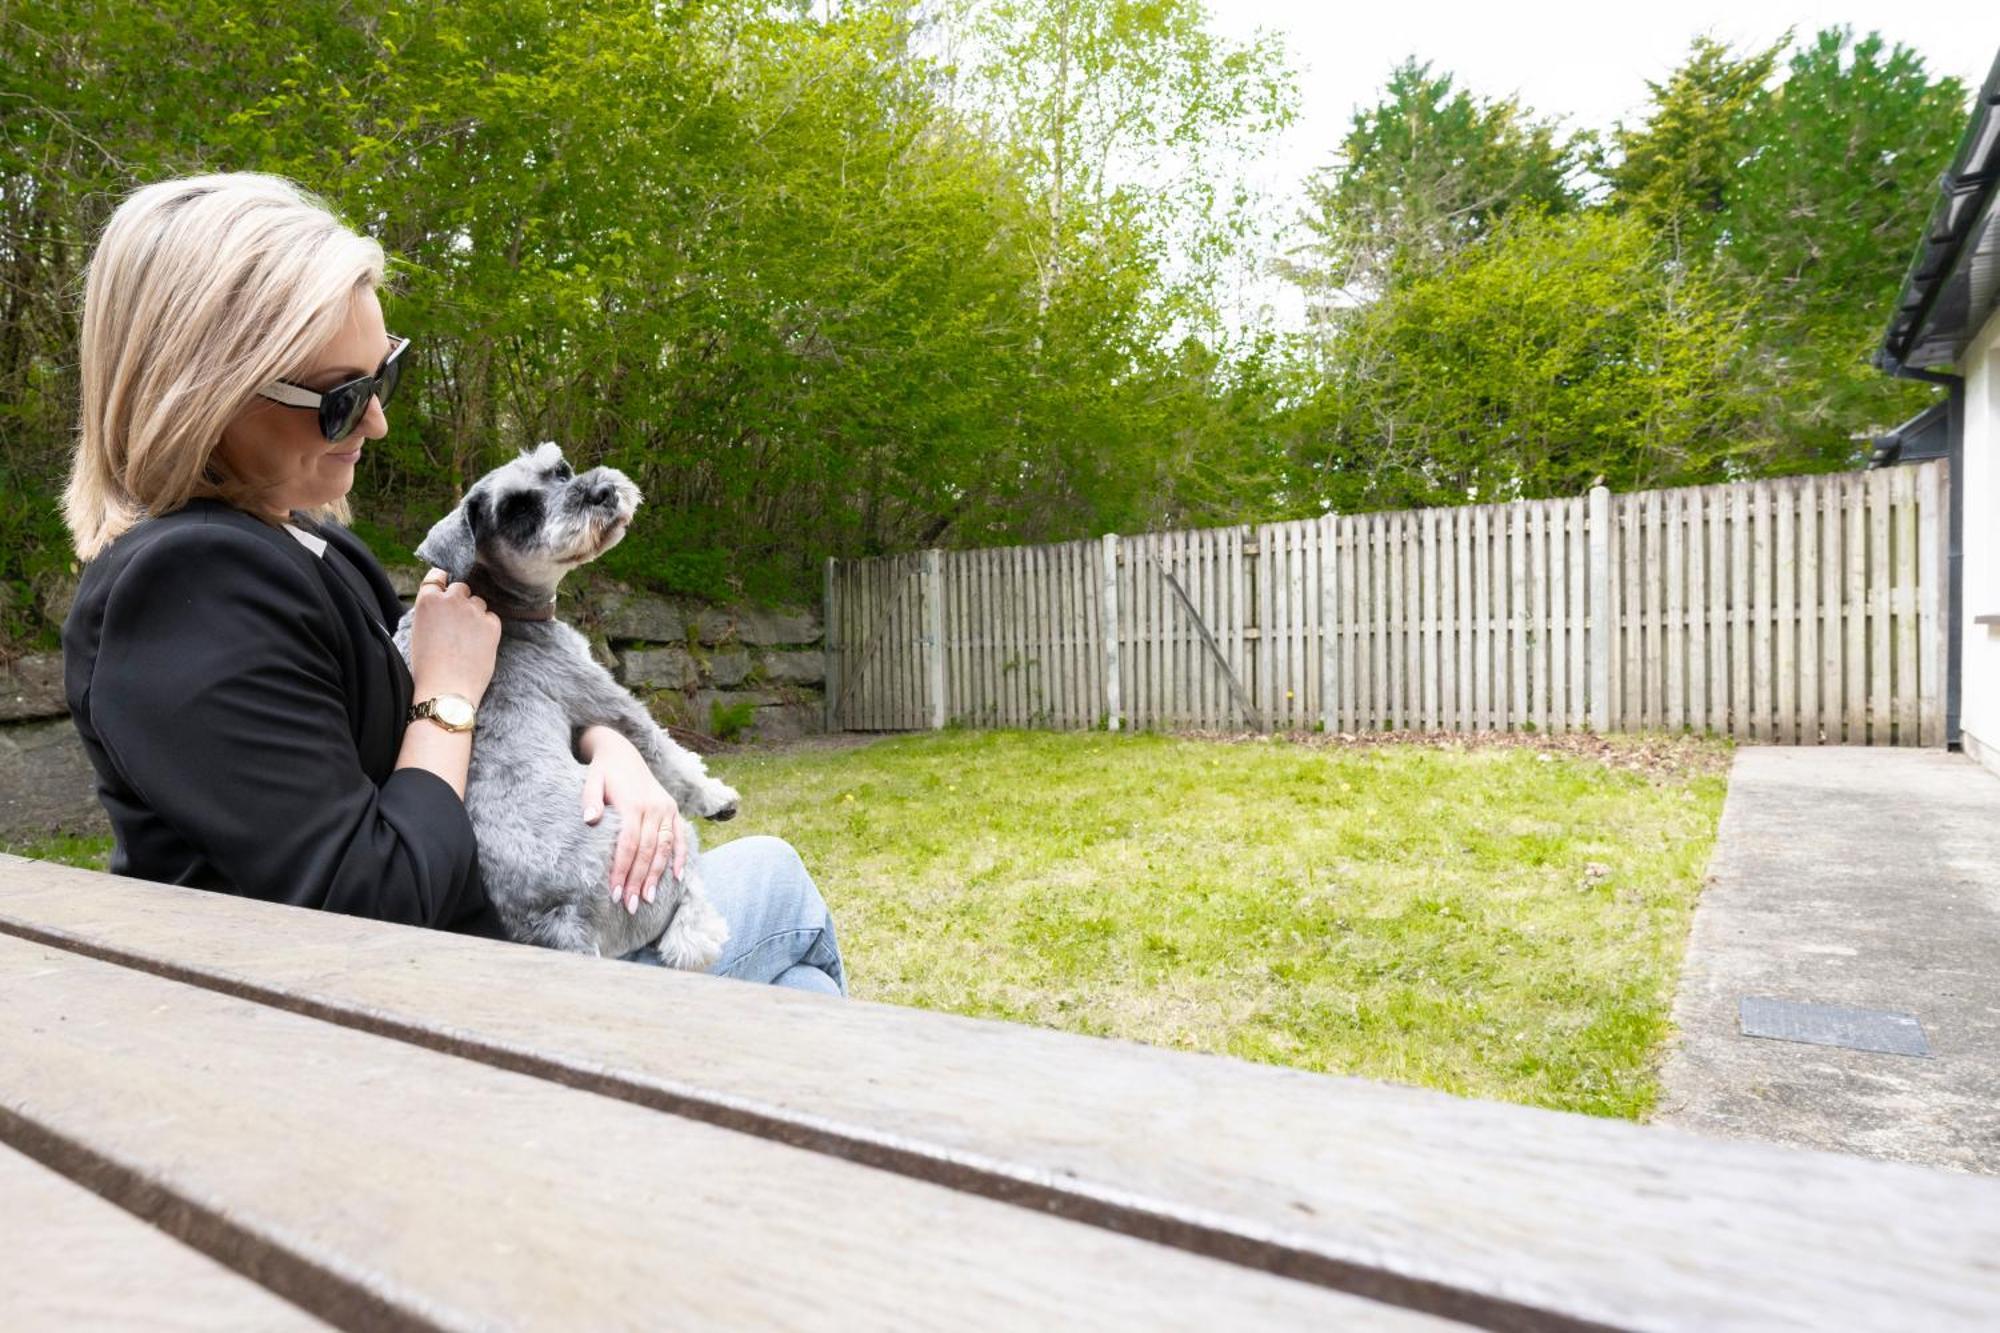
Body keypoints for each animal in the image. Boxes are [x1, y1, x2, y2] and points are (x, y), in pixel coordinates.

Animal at [394, 440, 740, 960]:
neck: (499, 603)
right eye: (517, 510)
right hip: (666, 844)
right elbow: (667, 754)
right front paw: (717, 795)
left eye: (560, 470)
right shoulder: (605, 699)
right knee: (690, 903)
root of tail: (562, 922)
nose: (602, 491)